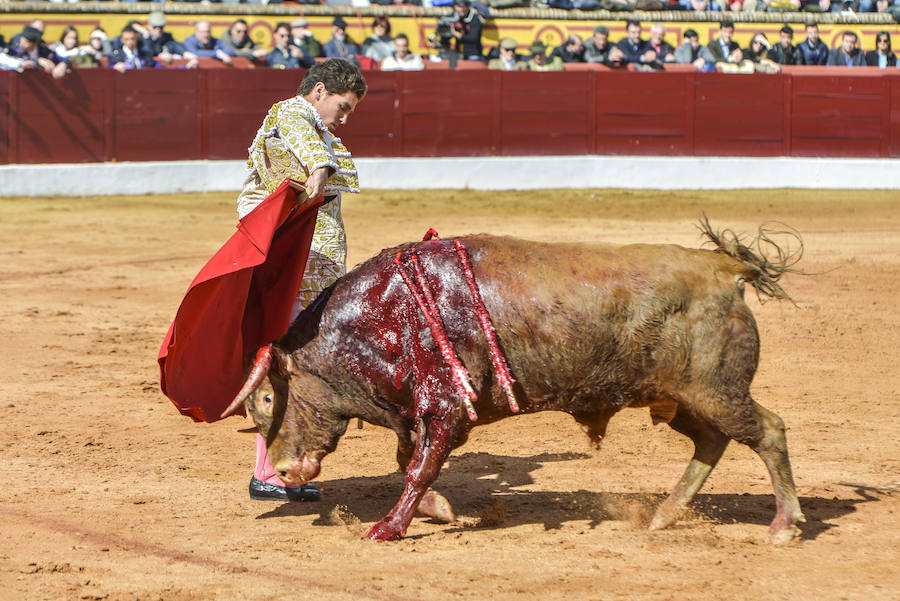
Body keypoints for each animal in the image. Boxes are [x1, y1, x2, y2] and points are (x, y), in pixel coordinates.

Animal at [221, 220, 804, 544]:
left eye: (269, 396)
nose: (285, 470)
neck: (384, 315)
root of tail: (721, 268)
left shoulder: (445, 410)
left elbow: (418, 467)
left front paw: (387, 527)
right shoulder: (420, 413)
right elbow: (408, 462)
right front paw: (439, 510)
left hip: (715, 390)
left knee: (768, 431)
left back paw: (783, 526)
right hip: (681, 398)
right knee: (712, 441)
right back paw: (663, 516)